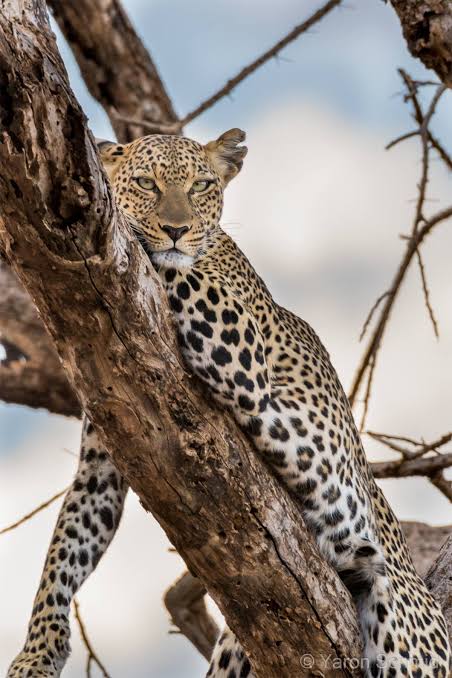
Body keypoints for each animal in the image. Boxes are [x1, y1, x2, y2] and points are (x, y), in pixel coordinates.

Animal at [7, 129, 450, 678]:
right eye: (146, 183)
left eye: (201, 186)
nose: (176, 229)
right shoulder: (103, 458)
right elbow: (66, 548)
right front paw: (37, 653)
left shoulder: (241, 349)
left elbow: (166, 264)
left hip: (400, 626)